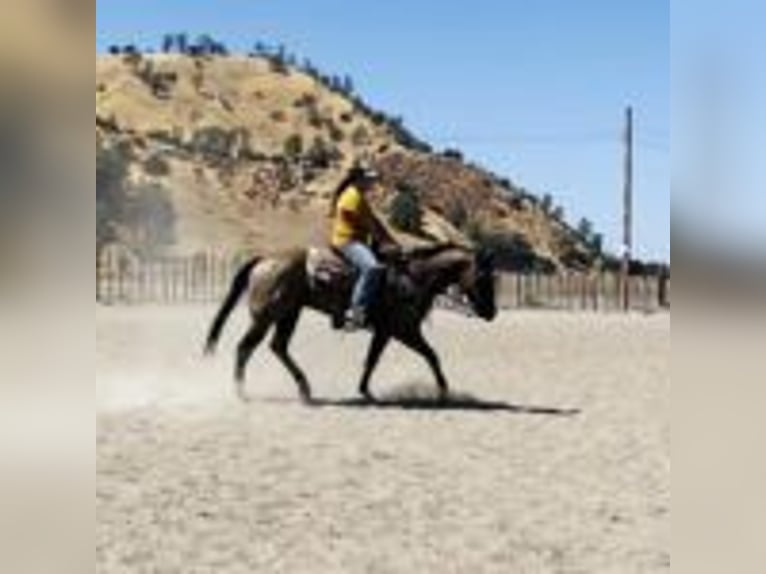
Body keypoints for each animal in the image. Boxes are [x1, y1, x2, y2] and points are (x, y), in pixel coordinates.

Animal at [207, 244, 500, 404]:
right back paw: (242, 393)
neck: (415, 277)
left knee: (278, 347)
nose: (491, 312)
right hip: (266, 316)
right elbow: (431, 356)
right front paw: (443, 393)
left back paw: (305, 389)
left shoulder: (388, 331)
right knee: (245, 347)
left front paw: (365, 391)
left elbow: (374, 360)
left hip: (289, 314)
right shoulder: (403, 330)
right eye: (483, 277)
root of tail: (263, 259)